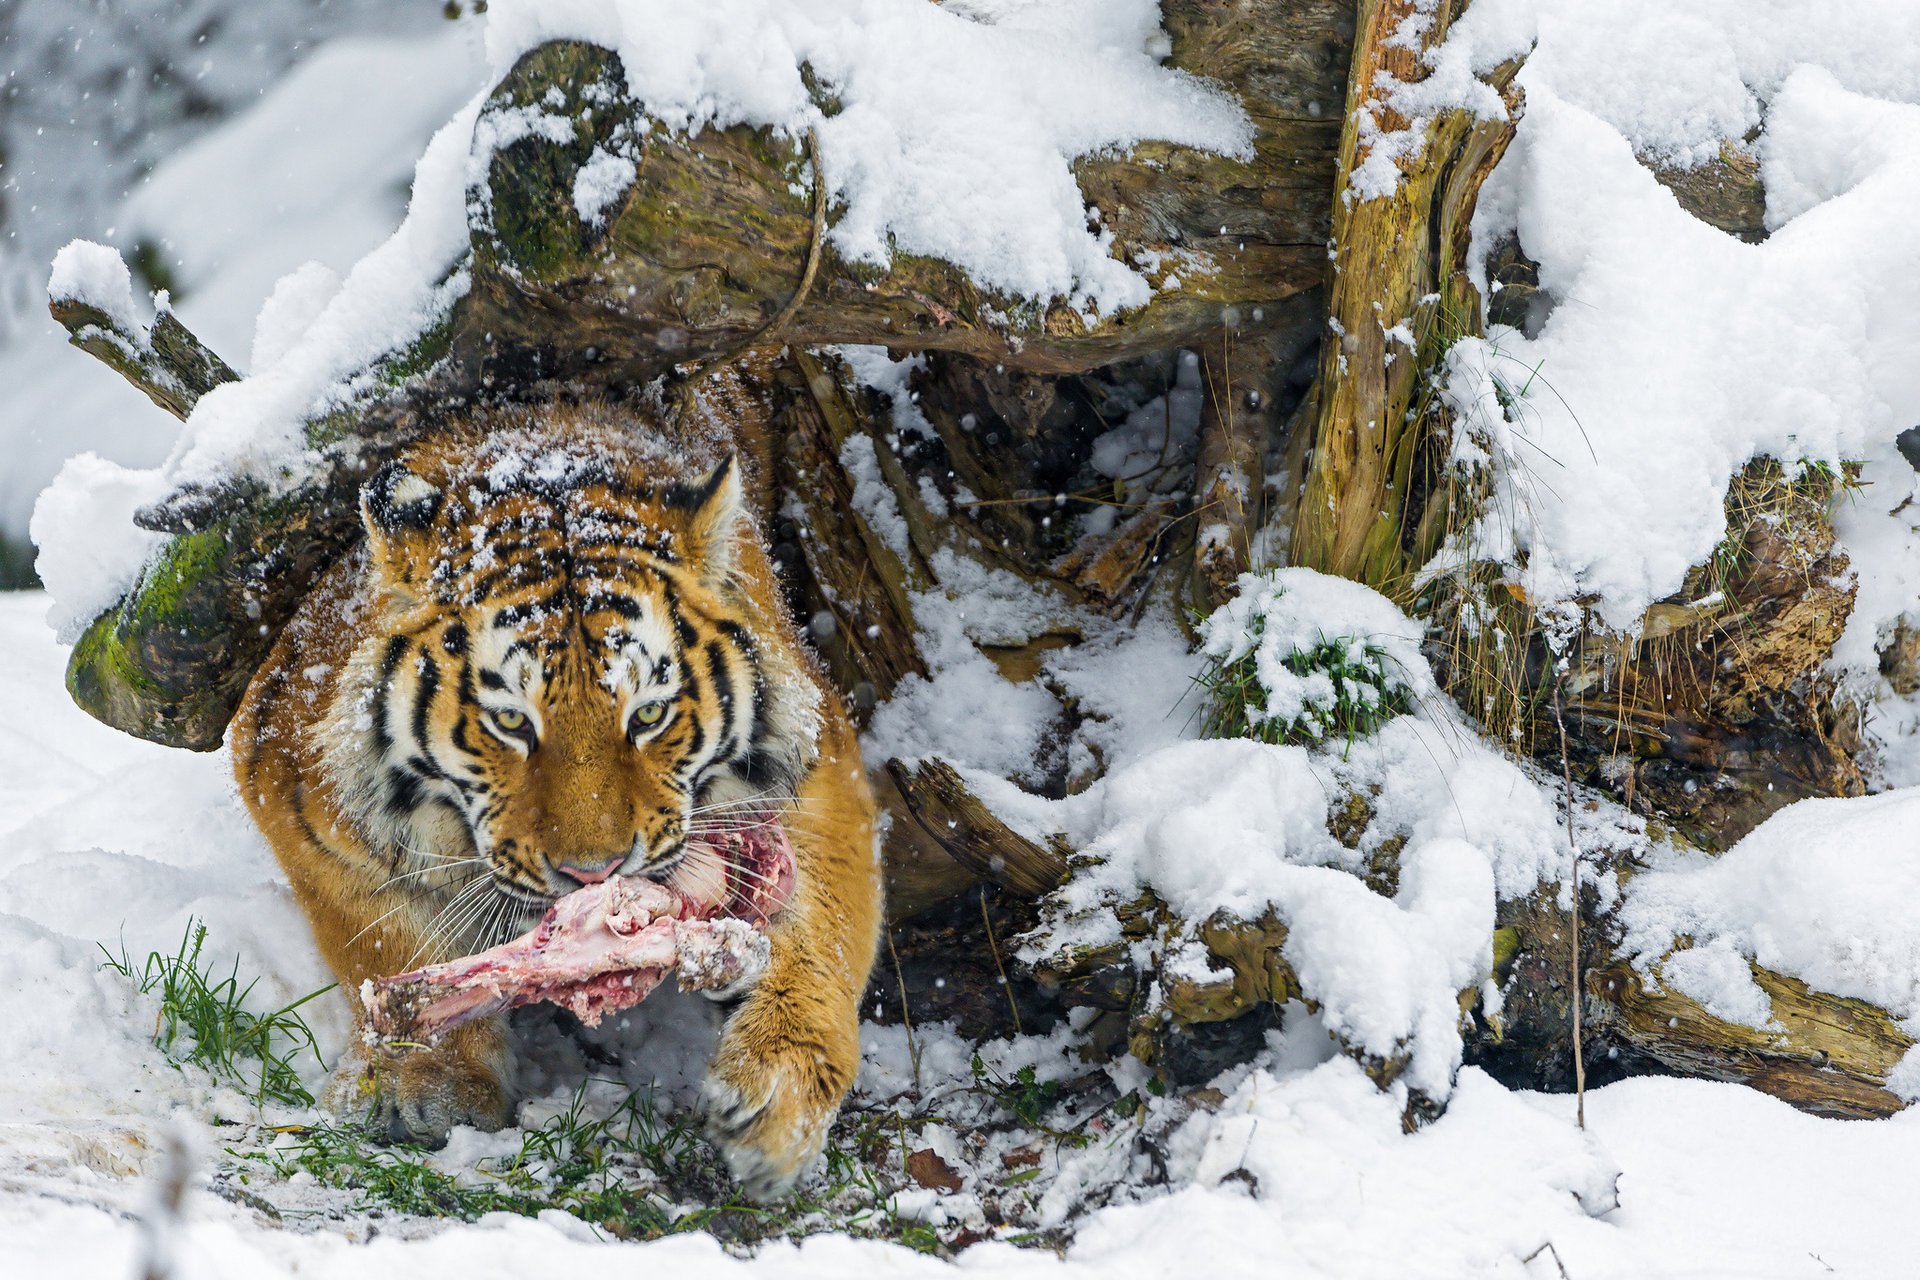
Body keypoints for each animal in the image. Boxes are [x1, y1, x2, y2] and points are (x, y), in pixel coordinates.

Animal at [231, 398, 882, 1200]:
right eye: (511, 723)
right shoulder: (300, 794)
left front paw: (777, 1102)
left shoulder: (819, 766)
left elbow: (825, 932)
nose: (593, 875)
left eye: (648, 716)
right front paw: (428, 1081)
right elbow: (386, 942)